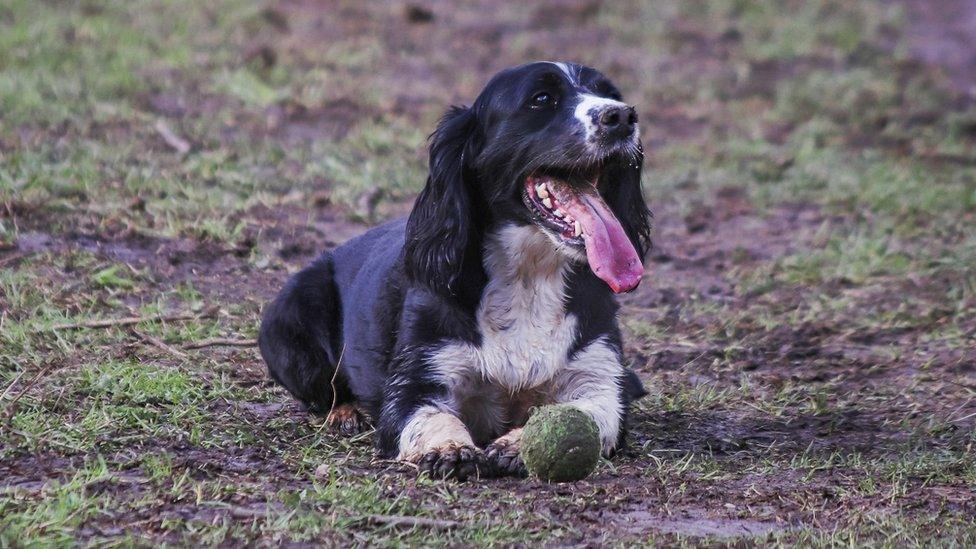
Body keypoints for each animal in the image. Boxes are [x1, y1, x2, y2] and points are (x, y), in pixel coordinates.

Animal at [264, 61, 652, 480]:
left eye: (610, 93)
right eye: (541, 99)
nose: (622, 116)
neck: (528, 276)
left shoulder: (597, 375)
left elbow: (588, 410)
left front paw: (516, 444)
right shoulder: (419, 374)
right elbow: (428, 414)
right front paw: (448, 448)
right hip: (289, 321)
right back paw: (346, 412)